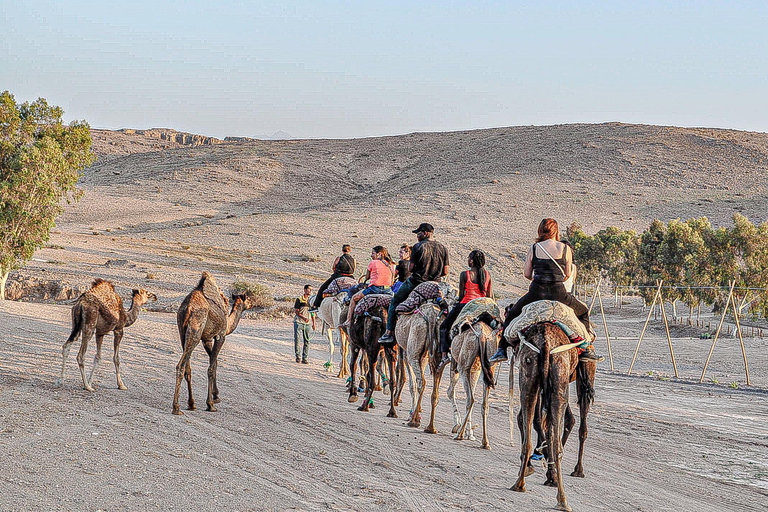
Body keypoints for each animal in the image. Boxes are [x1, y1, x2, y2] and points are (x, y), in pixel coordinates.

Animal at [172, 272, 258, 416]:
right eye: (248, 299)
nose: (254, 303)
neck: (228, 323)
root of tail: (188, 308)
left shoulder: (206, 339)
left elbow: (215, 363)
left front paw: (216, 396)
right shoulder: (220, 335)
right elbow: (211, 368)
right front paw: (211, 404)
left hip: (182, 333)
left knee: (187, 368)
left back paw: (191, 404)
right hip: (195, 331)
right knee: (181, 366)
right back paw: (176, 408)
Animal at [444, 322, 498, 450]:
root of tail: (481, 335)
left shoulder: (456, 364)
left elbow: (450, 391)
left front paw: (458, 426)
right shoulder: (475, 370)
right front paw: (470, 433)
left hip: (463, 367)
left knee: (470, 399)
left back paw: (459, 435)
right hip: (489, 367)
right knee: (484, 404)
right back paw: (485, 443)